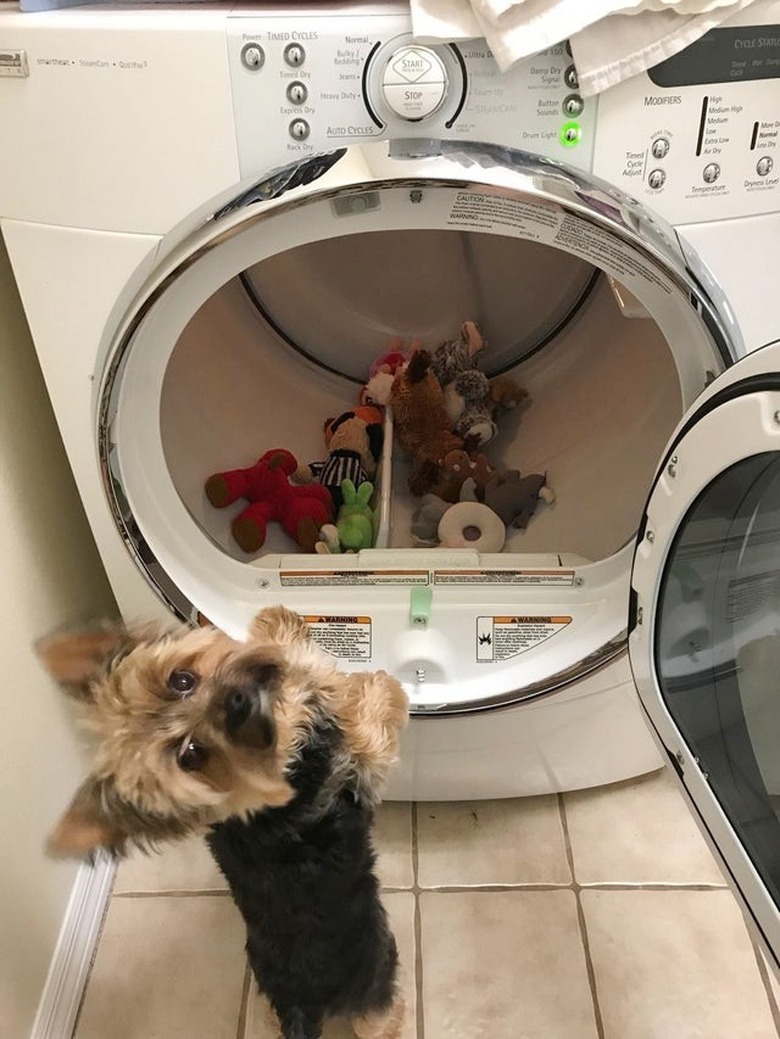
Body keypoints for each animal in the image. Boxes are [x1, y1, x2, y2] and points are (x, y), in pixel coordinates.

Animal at [38, 606, 409, 1039]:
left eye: (181, 680)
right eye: (191, 755)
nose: (238, 701)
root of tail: (301, 1004)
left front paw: (275, 621)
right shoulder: (352, 754)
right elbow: (364, 716)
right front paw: (382, 684)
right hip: (374, 976)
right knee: (377, 1018)